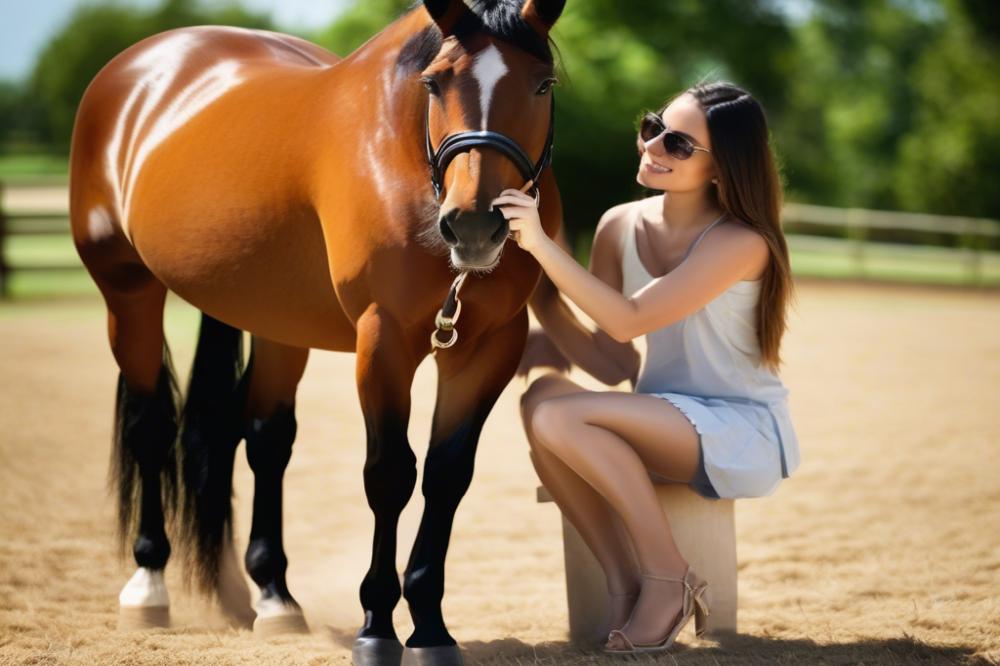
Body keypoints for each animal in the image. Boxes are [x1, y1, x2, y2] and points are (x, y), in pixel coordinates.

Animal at [70, 1, 568, 660]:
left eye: (543, 84)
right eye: (436, 82)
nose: (474, 225)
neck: (405, 152)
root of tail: (135, 68)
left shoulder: (490, 347)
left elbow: (446, 475)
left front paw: (431, 628)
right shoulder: (382, 341)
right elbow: (390, 475)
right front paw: (377, 628)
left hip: (274, 321)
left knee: (264, 438)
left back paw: (272, 597)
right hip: (128, 292)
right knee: (150, 427)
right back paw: (148, 586)